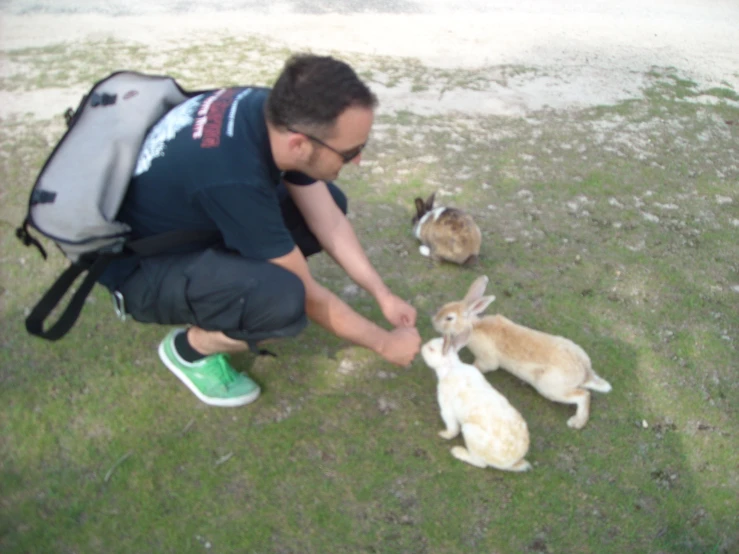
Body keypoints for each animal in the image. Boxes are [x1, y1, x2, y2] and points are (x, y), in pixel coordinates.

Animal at [422, 328, 532, 470]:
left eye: (431, 349)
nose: (422, 347)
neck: (450, 368)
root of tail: (511, 462)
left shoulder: (447, 409)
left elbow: (452, 428)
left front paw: (444, 434)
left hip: (470, 433)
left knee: (480, 463)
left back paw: (458, 452)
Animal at [434, 274, 612, 430]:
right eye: (444, 307)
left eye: (449, 318)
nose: (433, 320)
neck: (474, 326)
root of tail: (584, 373)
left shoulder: (487, 360)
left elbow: (480, 366)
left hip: (550, 387)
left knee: (584, 395)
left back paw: (577, 422)